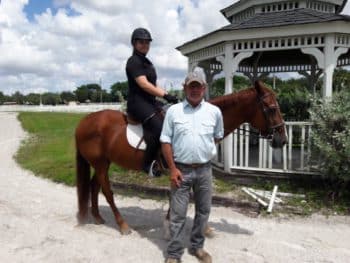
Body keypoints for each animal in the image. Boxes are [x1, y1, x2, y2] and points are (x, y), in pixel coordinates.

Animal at [75, 80, 286, 235]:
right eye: (271, 108)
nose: (282, 140)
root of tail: (85, 121)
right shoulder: (179, 168)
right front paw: (171, 224)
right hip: (101, 164)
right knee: (107, 191)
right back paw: (122, 225)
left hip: (103, 162)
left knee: (94, 186)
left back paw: (97, 217)